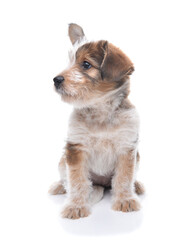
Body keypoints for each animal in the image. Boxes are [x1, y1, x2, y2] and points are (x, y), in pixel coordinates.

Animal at [48, 23, 145, 219]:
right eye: (69, 61)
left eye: (86, 64)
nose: (56, 80)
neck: (100, 112)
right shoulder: (76, 148)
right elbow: (77, 181)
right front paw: (76, 205)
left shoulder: (127, 148)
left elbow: (124, 178)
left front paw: (125, 200)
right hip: (63, 160)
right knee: (67, 179)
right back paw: (60, 187)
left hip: (137, 158)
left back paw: (136, 186)